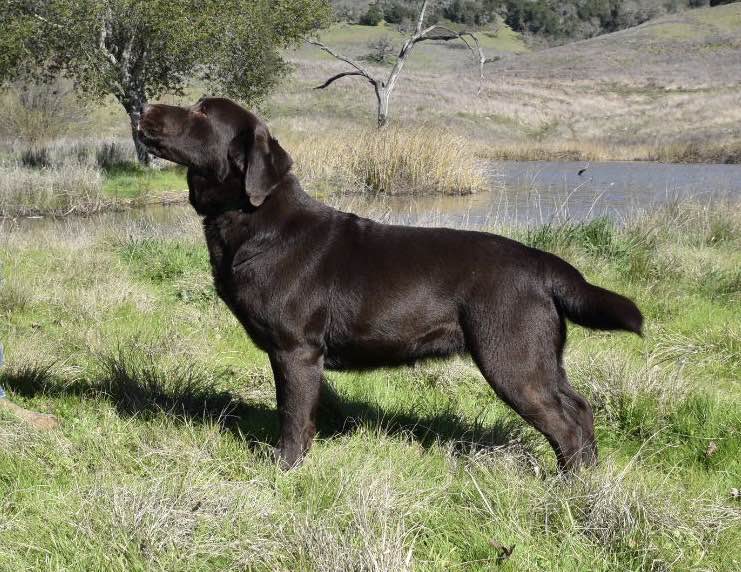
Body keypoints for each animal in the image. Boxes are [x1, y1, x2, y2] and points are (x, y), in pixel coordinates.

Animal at [137, 98, 640, 472]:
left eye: (203, 112)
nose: (143, 107)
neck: (252, 219)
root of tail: (542, 262)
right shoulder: (305, 356)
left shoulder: (295, 349)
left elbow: (292, 417)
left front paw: (285, 469)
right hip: (540, 359)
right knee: (581, 410)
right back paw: (590, 481)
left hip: (512, 361)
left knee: (566, 425)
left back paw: (568, 488)